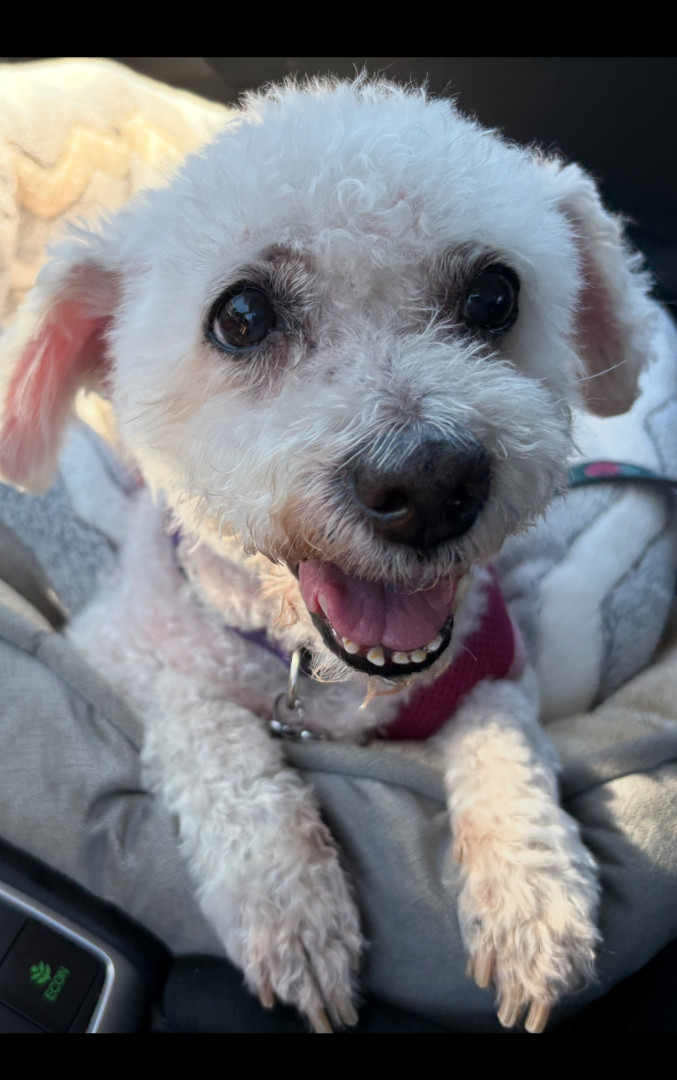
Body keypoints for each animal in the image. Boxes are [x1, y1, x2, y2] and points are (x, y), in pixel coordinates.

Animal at [0, 78, 659, 1033]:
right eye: (241, 316)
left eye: (494, 296)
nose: (427, 481)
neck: (327, 682)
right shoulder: (125, 655)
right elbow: (214, 738)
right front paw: (291, 908)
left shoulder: (496, 668)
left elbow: (508, 754)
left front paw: (533, 901)